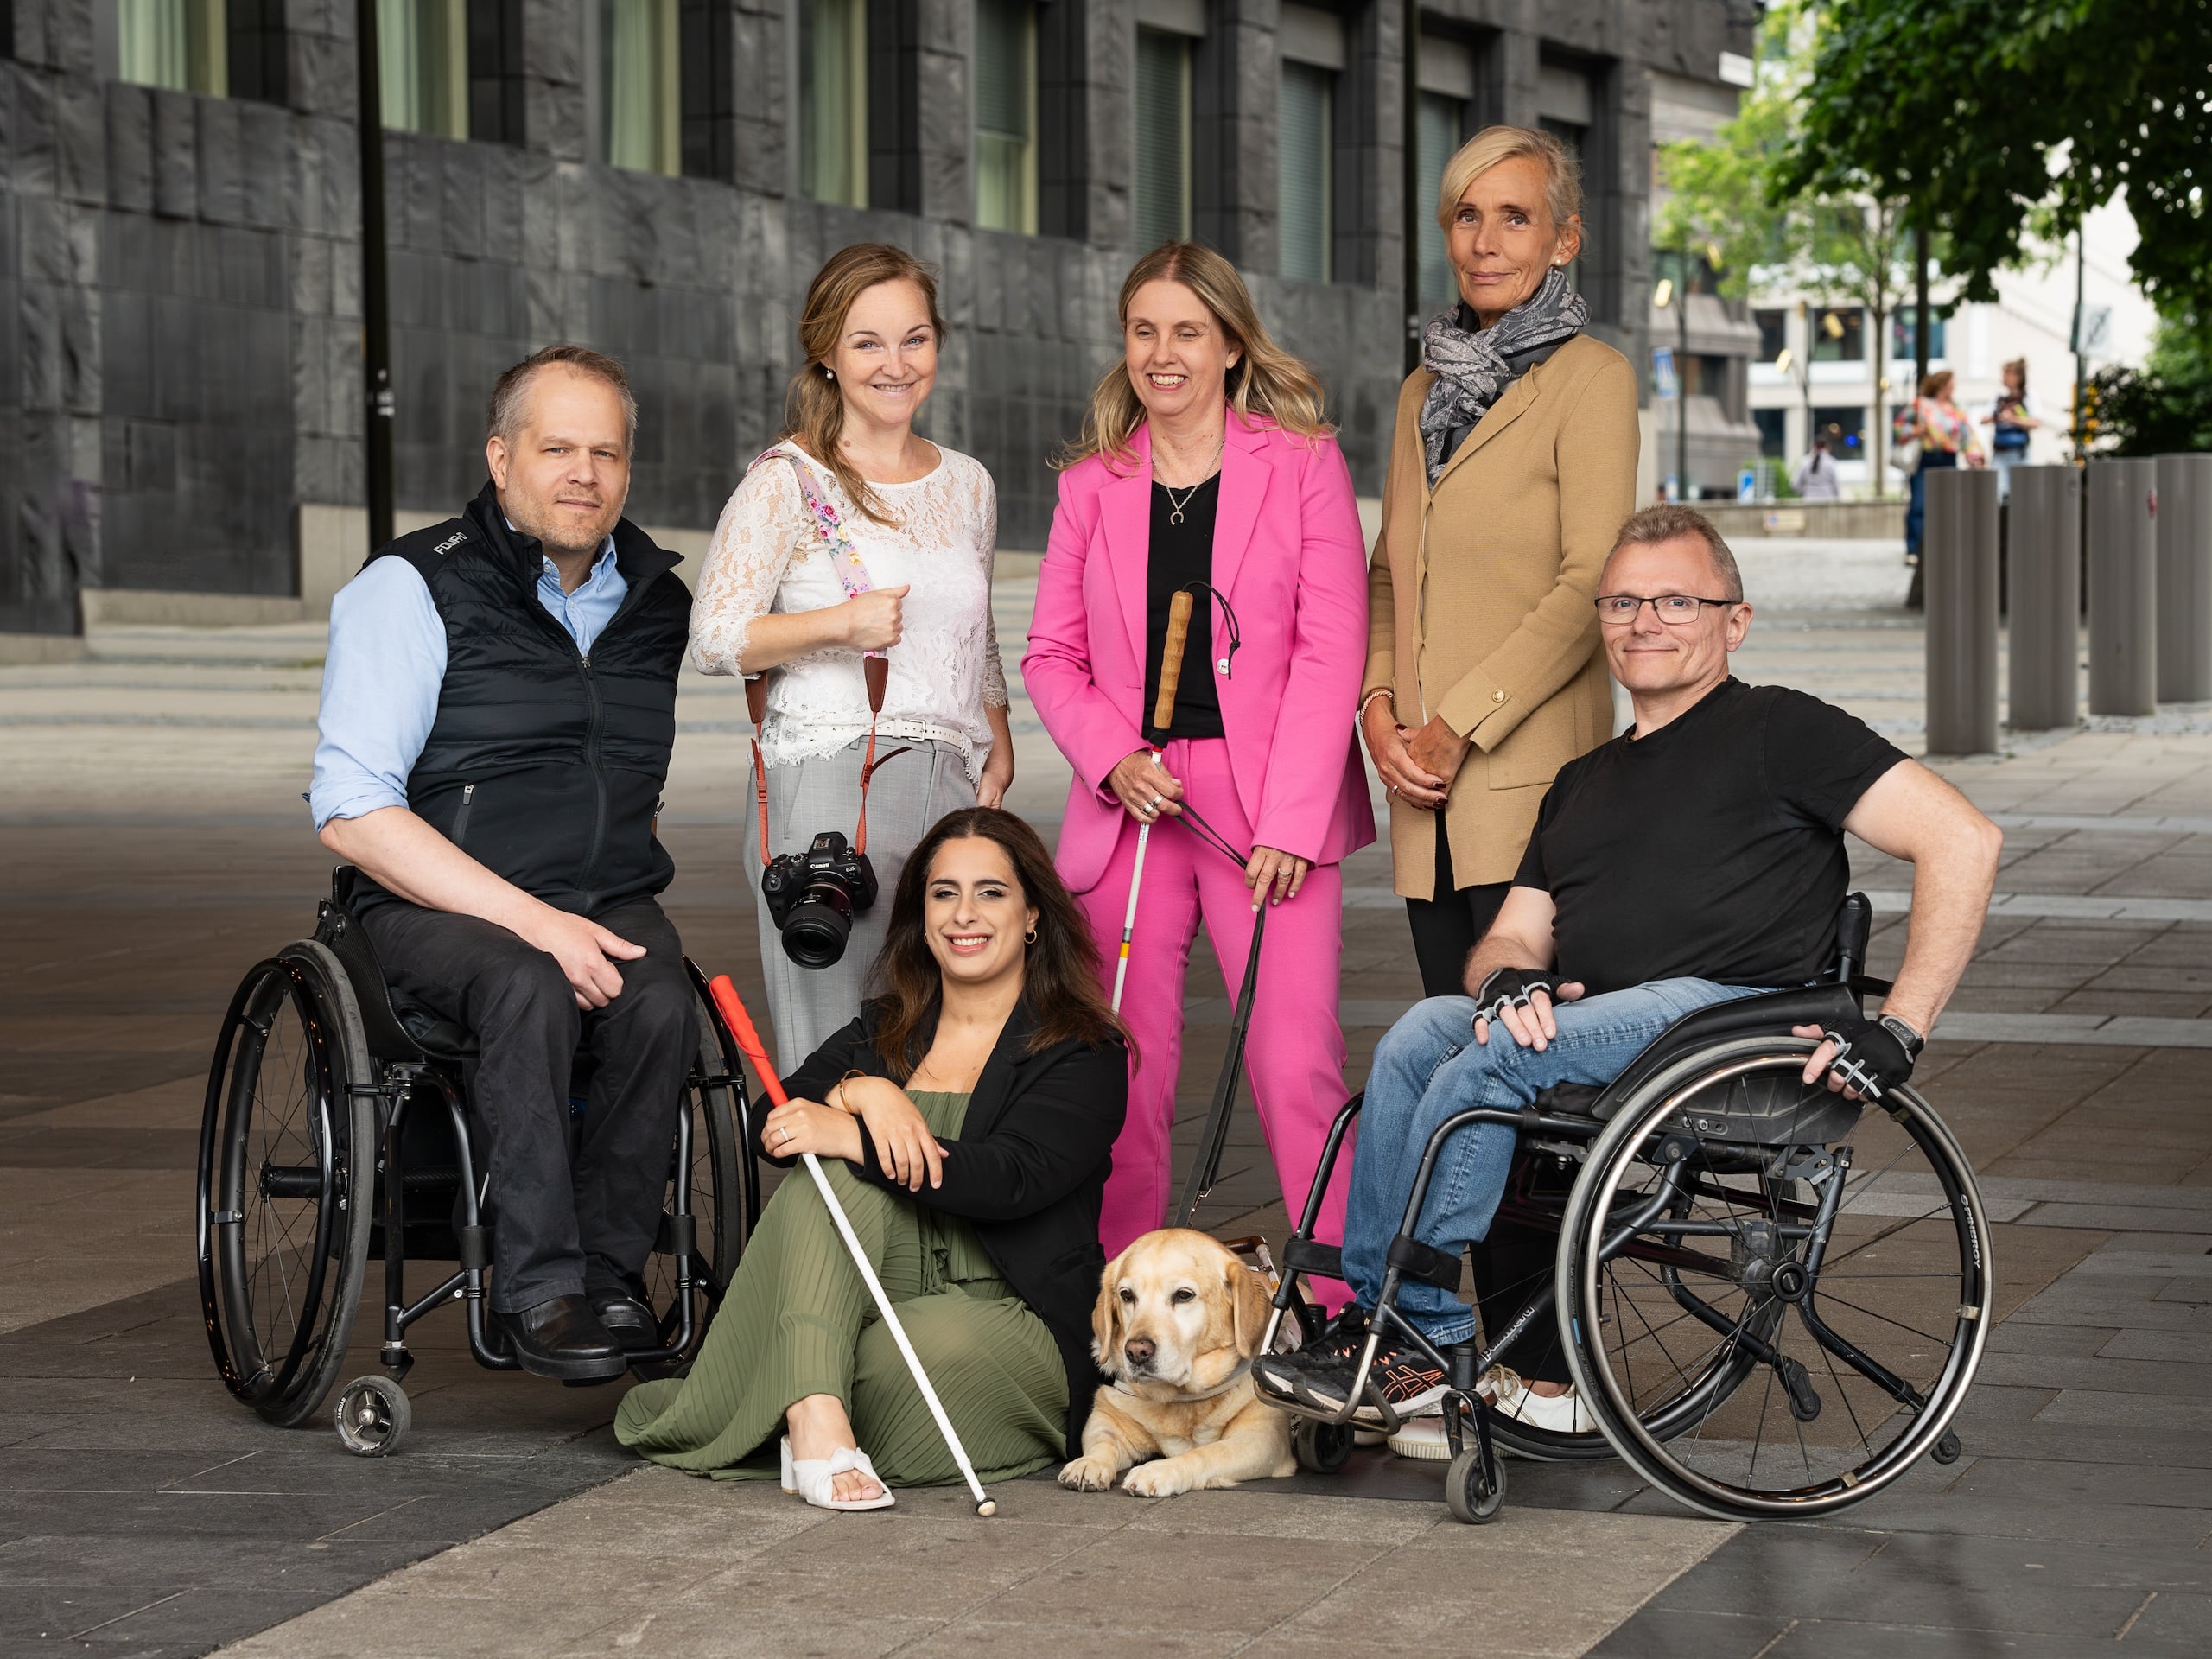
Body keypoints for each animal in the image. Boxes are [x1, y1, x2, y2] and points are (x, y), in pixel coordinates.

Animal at [1057, 1230, 1292, 1503]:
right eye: (1127, 1295)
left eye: (1183, 1295)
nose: (1136, 1352)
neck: (1182, 1398)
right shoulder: (1106, 1415)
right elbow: (1103, 1441)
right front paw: (1089, 1463)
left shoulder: (1262, 1438)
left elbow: (1206, 1453)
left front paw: (1158, 1471)